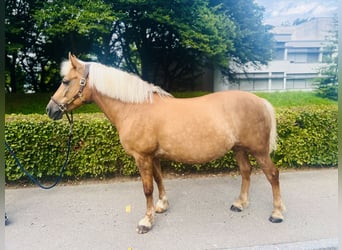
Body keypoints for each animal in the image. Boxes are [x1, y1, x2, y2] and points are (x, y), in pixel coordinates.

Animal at [46, 53, 286, 234]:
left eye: (66, 81)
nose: (51, 109)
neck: (135, 108)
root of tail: (261, 101)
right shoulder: (153, 156)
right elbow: (159, 179)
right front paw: (161, 206)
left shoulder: (142, 157)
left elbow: (147, 189)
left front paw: (146, 221)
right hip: (239, 149)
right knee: (246, 171)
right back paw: (240, 203)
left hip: (259, 150)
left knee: (272, 174)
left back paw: (277, 213)